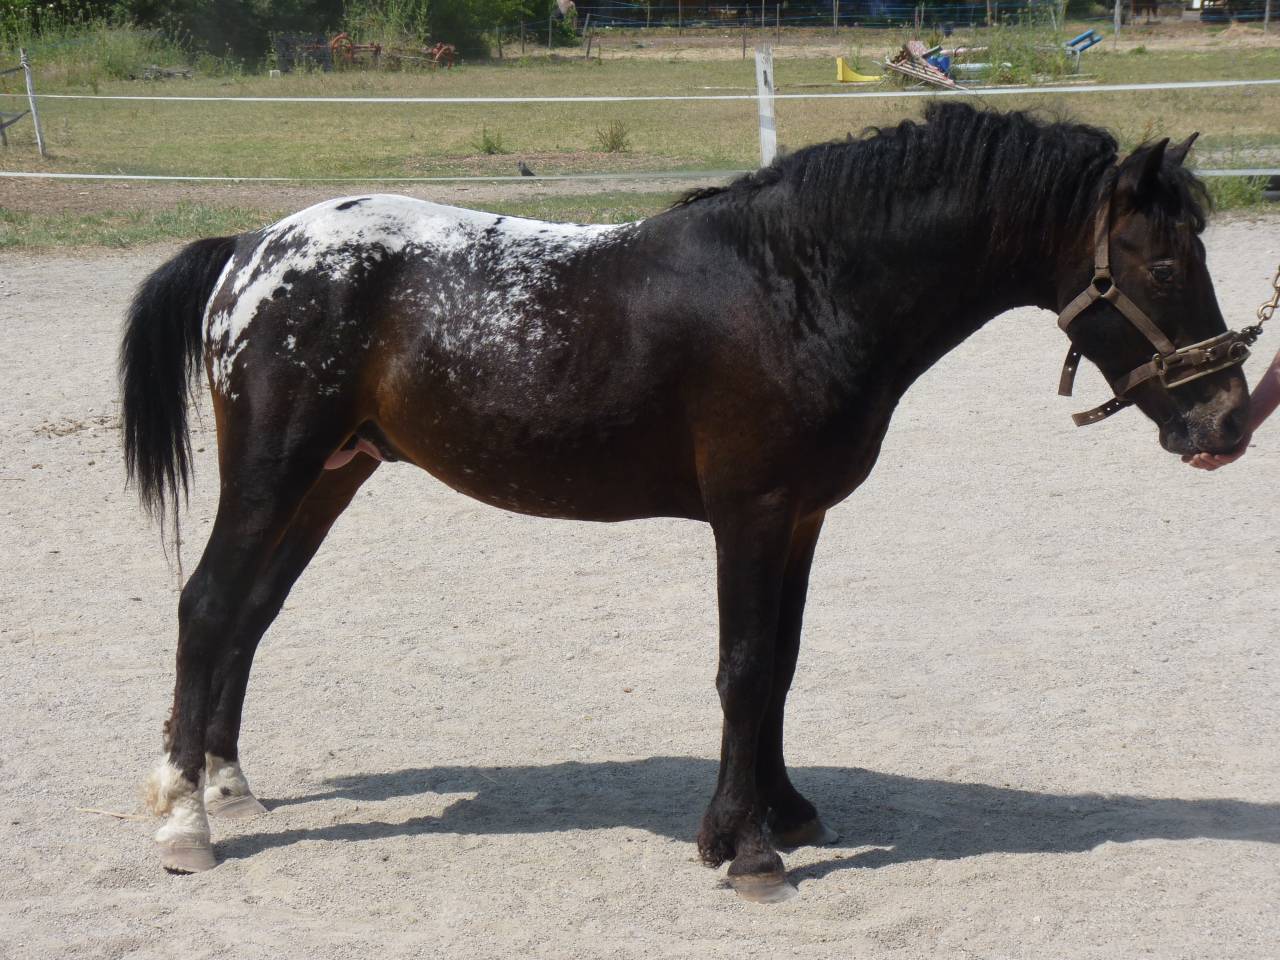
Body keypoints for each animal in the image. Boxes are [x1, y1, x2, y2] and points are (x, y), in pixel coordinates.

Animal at [121, 103, 1250, 902]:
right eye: (1161, 260)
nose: (1228, 421)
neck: (799, 284)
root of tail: (252, 249)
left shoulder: (801, 517)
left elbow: (781, 667)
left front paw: (780, 812)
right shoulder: (751, 511)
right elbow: (743, 669)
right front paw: (745, 850)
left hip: (333, 472)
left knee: (251, 614)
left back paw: (225, 785)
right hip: (274, 468)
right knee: (207, 606)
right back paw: (184, 827)